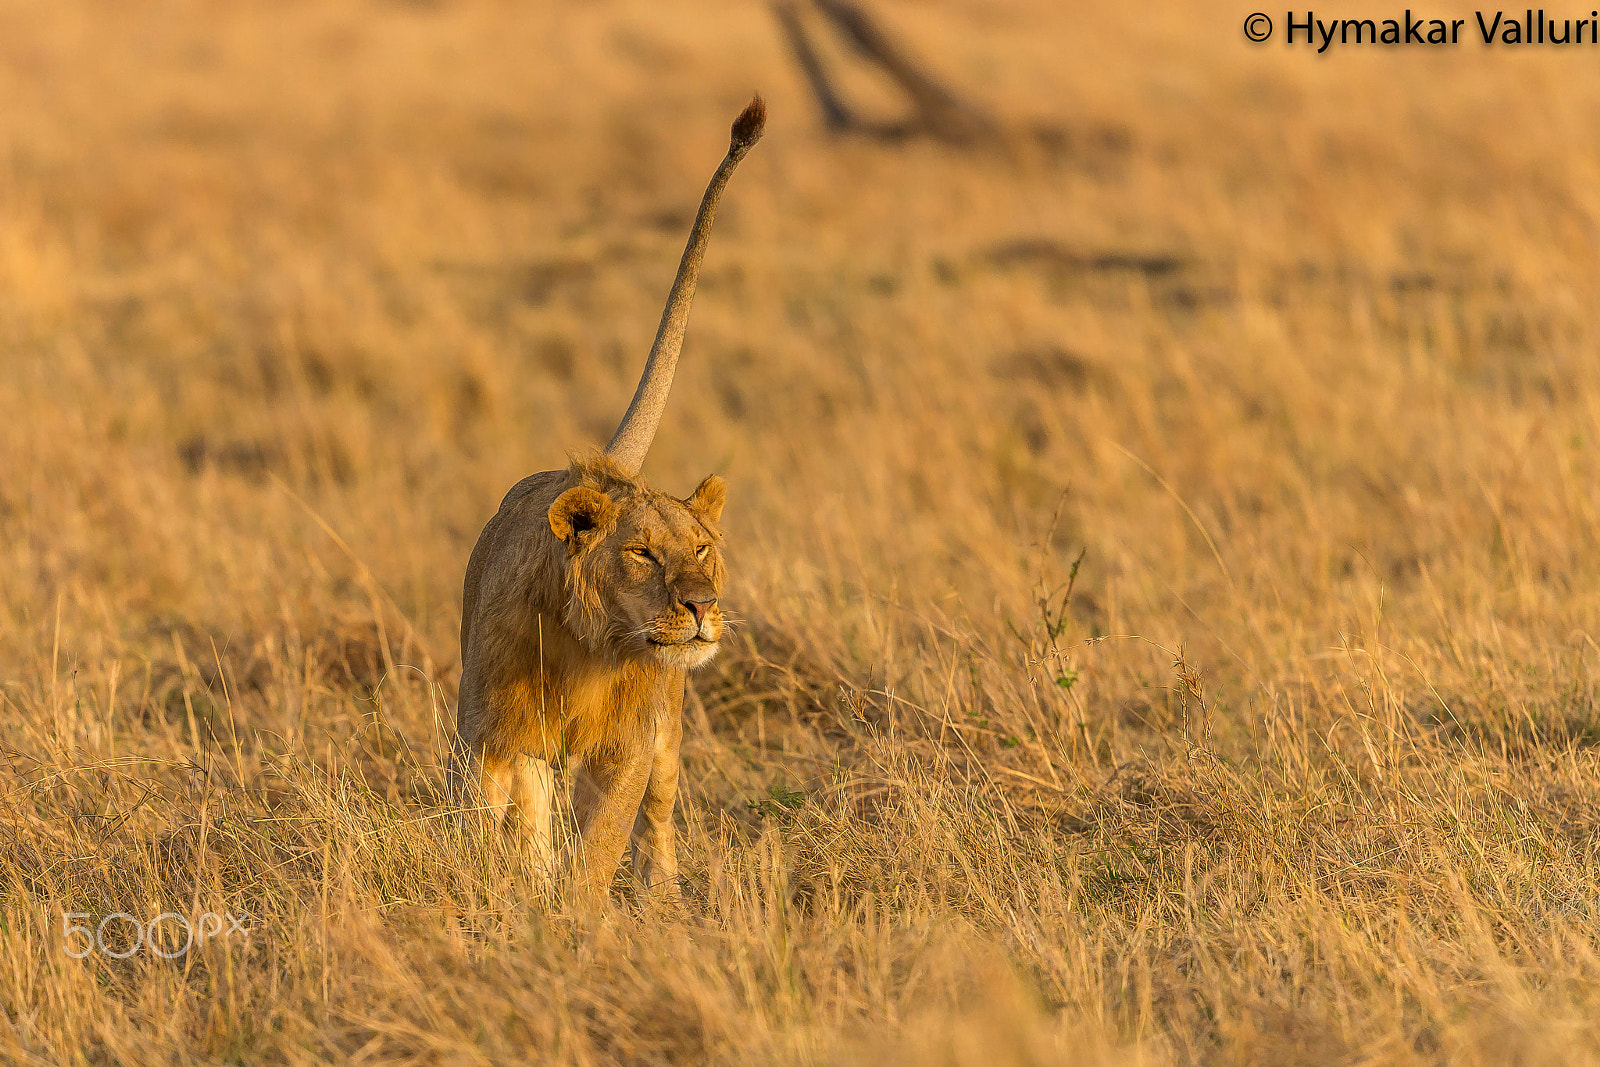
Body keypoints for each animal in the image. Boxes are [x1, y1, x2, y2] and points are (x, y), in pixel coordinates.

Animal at [454, 95, 764, 908]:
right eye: (642, 552)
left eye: (702, 549)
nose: (700, 606)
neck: (589, 649)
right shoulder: (489, 731)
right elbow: (485, 824)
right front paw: (497, 898)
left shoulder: (630, 744)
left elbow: (601, 843)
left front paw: (579, 915)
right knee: (532, 812)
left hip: (669, 732)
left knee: (657, 817)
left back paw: (664, 895)